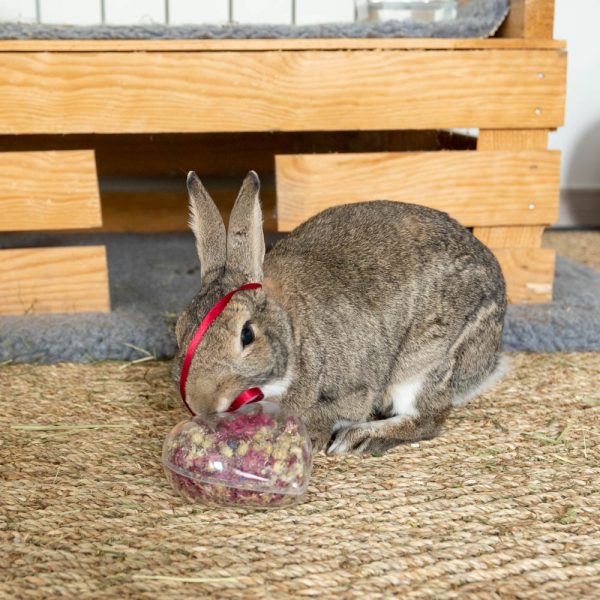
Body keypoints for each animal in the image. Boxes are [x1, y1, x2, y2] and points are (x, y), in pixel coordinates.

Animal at [173, 170, 506, 454]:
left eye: (246, 335)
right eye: (179, 332)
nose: (202, 403)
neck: (294, 333)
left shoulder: (354, 390)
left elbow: (330, 413)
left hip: (424, 364)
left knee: (427, 419)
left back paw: (358, 438)